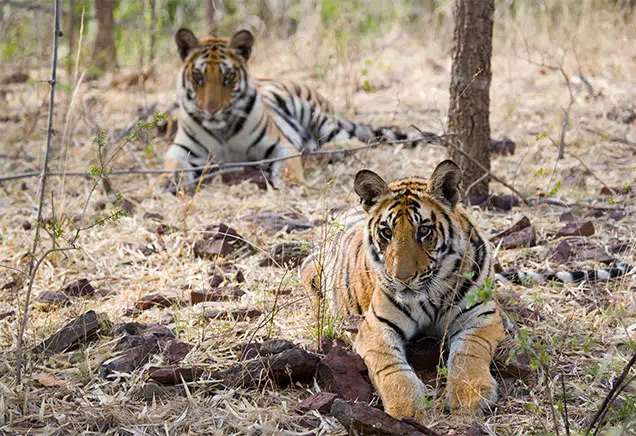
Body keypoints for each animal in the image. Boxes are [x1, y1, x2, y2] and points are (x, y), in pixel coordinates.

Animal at [166, 27, 420, 189]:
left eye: (228, 77)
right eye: (198, 76)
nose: (212, 110)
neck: (222, 130)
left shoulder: (281, 145)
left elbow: (289, 166)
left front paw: (290, 183)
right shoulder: (180, 149)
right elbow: (173, 166)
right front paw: (171, 183)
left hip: (314, 114)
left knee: (352, 140)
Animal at [300, 160, 632, 418]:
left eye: (424, 231)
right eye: (386, 233)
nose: (402, 278)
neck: (431, 291)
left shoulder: (480, 316)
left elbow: (469, 352)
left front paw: (470, 396)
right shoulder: (375, 327)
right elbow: (390, 366)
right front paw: (408, 408)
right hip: (311, 267)